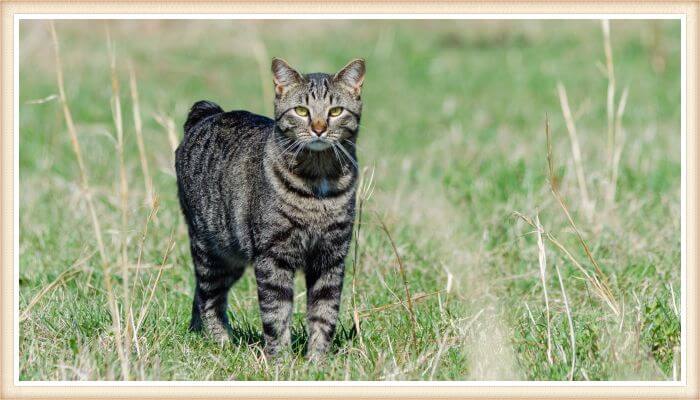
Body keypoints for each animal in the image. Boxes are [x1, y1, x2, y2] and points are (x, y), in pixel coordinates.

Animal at [175, 57, 366, 360]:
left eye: (335, 111)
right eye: (301, 110)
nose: (319, 128)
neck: (318, 182)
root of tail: (209, 113)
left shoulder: (331, 257)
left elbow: (324, 314)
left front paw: (317, 361)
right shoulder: (273, 256)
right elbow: (276, 314)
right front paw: (281, 361)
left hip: (232, 257)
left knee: (199, 295)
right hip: (211, 250)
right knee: (208, 298)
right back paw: (222, 343)